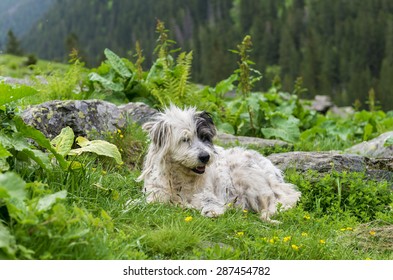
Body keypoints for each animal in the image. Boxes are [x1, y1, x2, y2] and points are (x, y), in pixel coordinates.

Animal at [138, 105, 300, 223]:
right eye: (185, 139)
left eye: (204, 137)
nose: (205, 157)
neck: (180, 179)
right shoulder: (155, 194)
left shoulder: (208, 195)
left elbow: (210, 204)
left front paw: (212, 211)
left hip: (245, 174)